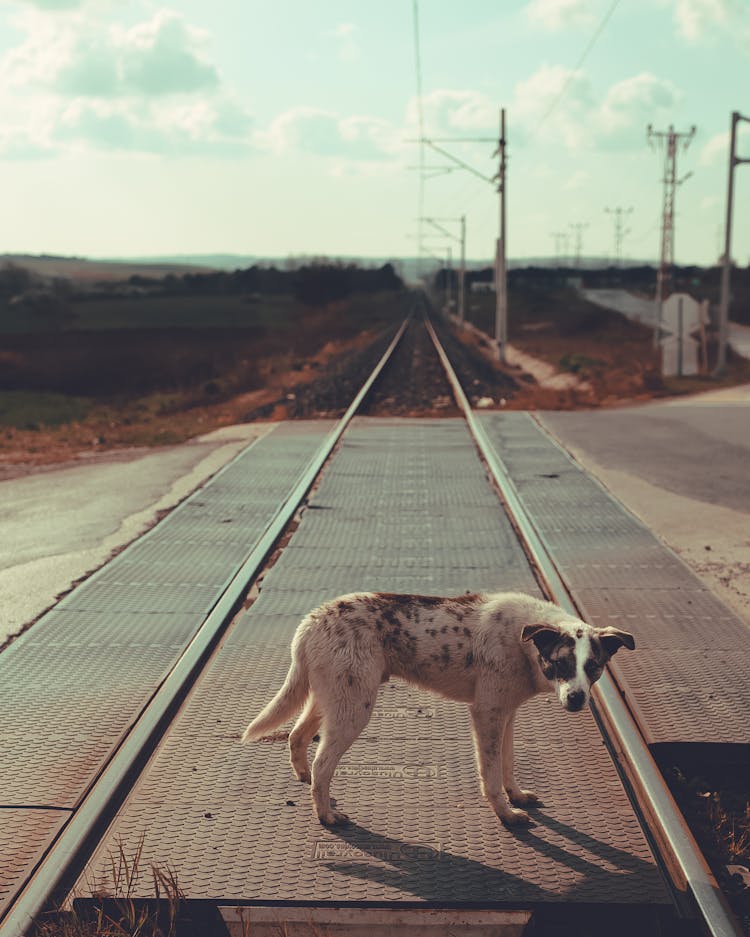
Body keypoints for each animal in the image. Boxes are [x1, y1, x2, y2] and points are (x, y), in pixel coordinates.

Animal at [241, 592, 636, 828]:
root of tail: (310, 620)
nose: (576, 699)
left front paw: (517, 797)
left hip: (330, 700)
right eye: (560, 663)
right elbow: (491, 775)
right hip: (354, 709)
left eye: (594, 666)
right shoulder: (487, 714)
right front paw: (506, 814)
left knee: (296, 736)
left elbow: (507, 765)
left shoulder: (506, 714)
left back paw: (305, 779)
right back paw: (325, 815)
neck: (522, 642)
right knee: (323, 763)